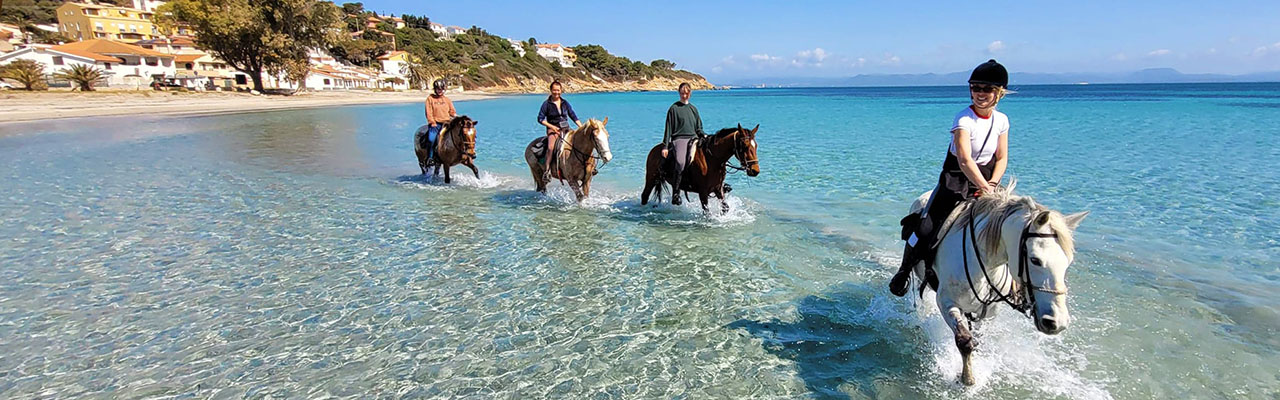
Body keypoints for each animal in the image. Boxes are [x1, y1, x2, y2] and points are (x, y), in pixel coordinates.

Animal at [901, 183, 1090, 387]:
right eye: (1035, 260)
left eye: (1068, 262)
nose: (1057, 322)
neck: (984, 261)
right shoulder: (946, 303)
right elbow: (964, 341)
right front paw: (967, 379)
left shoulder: (989, 311)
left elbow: (978, 339)